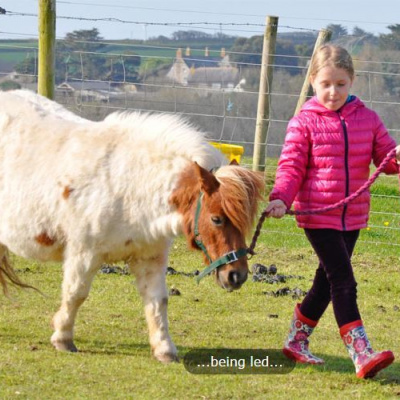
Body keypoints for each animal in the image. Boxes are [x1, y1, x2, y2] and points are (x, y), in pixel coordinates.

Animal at [0, 90, 264, 362]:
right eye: (216, 219)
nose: (237, 276)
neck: (131, 185)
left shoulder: (150, 257)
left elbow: (158, 301)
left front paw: (164, 349)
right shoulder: (83, 253)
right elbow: (76, 293)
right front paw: (63, 338)